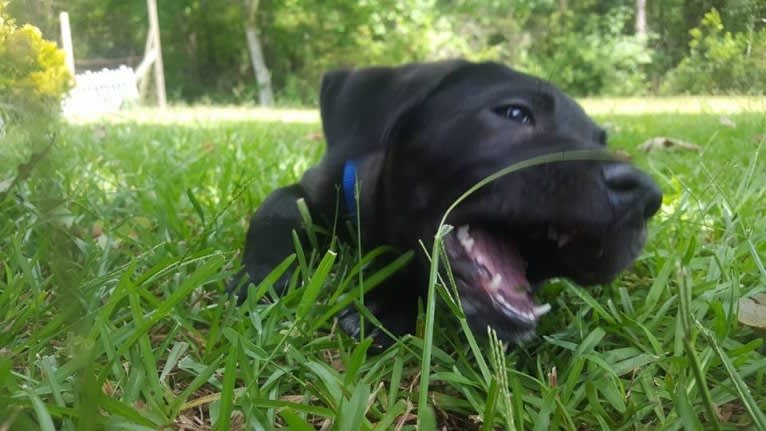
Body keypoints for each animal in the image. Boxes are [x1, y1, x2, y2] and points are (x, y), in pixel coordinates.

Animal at [231, 60, 664, 344]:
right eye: (515, 112)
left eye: (600, 140)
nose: (647, 195)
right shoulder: (313, 188)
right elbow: (277, 210)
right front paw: (264, 278)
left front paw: (386, 307)